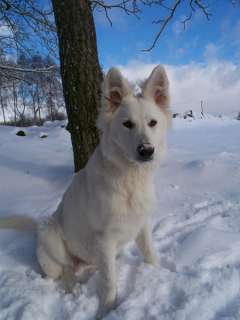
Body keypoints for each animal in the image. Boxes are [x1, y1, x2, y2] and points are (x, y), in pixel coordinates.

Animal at [0, 64, 171, 318]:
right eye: (127, 124)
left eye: (153, 123)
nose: (146, 151)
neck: (130, 179)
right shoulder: (105, 238)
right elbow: (109, 282)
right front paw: (106, 311)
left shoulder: (142, 225)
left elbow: (150, 254)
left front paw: (158, 273)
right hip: (51, 236)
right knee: (65, 271)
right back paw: (71, 290)